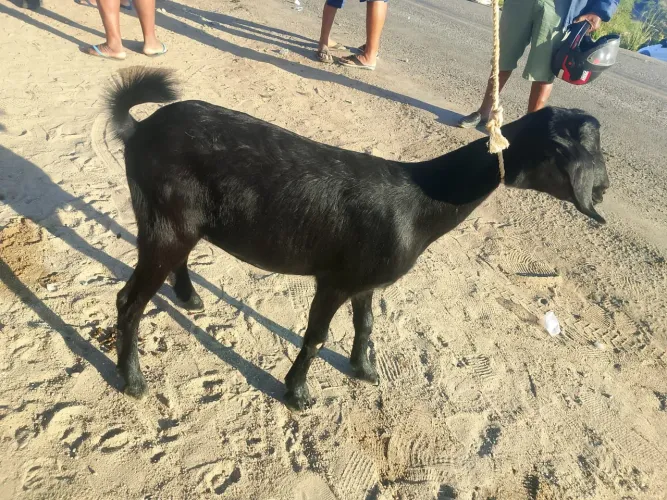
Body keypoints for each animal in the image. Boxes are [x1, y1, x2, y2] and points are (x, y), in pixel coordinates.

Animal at [106, 67, 609, 411]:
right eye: (568, 152)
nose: (603, 189)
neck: (421, 199)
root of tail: (139, 129)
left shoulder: (366, 282)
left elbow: (366, 325)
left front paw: (364, 370)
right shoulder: (335, 280)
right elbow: (315, 336)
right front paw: (298, 393)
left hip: (179, 223)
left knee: (174, 261)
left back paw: (188, 298)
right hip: (165, 221)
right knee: (129, 301)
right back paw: (132, 380)